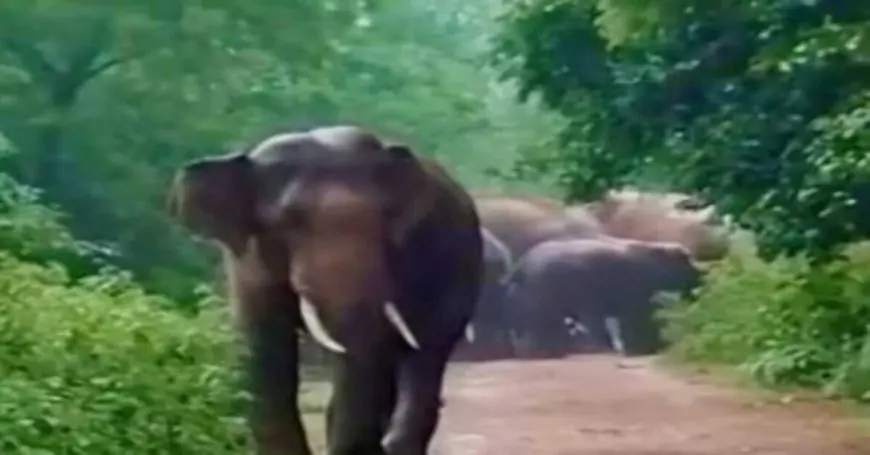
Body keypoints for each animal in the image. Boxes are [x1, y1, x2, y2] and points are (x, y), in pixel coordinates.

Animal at [501, 237, 701, 359]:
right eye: (686, 258)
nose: (702, 273)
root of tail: (519, 266)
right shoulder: (632, 296)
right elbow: (632, 320)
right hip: (541, 299)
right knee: (537, 327)